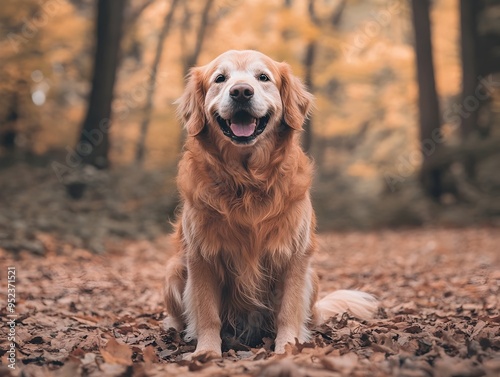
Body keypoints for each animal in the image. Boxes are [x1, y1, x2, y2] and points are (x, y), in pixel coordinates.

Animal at [162, 50, 376, 358]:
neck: (247, 181)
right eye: (220, 78)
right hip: (174, 271)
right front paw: (207, 352)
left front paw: (288, 347)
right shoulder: (201, 256)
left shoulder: (294, 255)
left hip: (312, 278)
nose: (241, 92)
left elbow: (288, 311)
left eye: (263, 77)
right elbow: (207, 313)